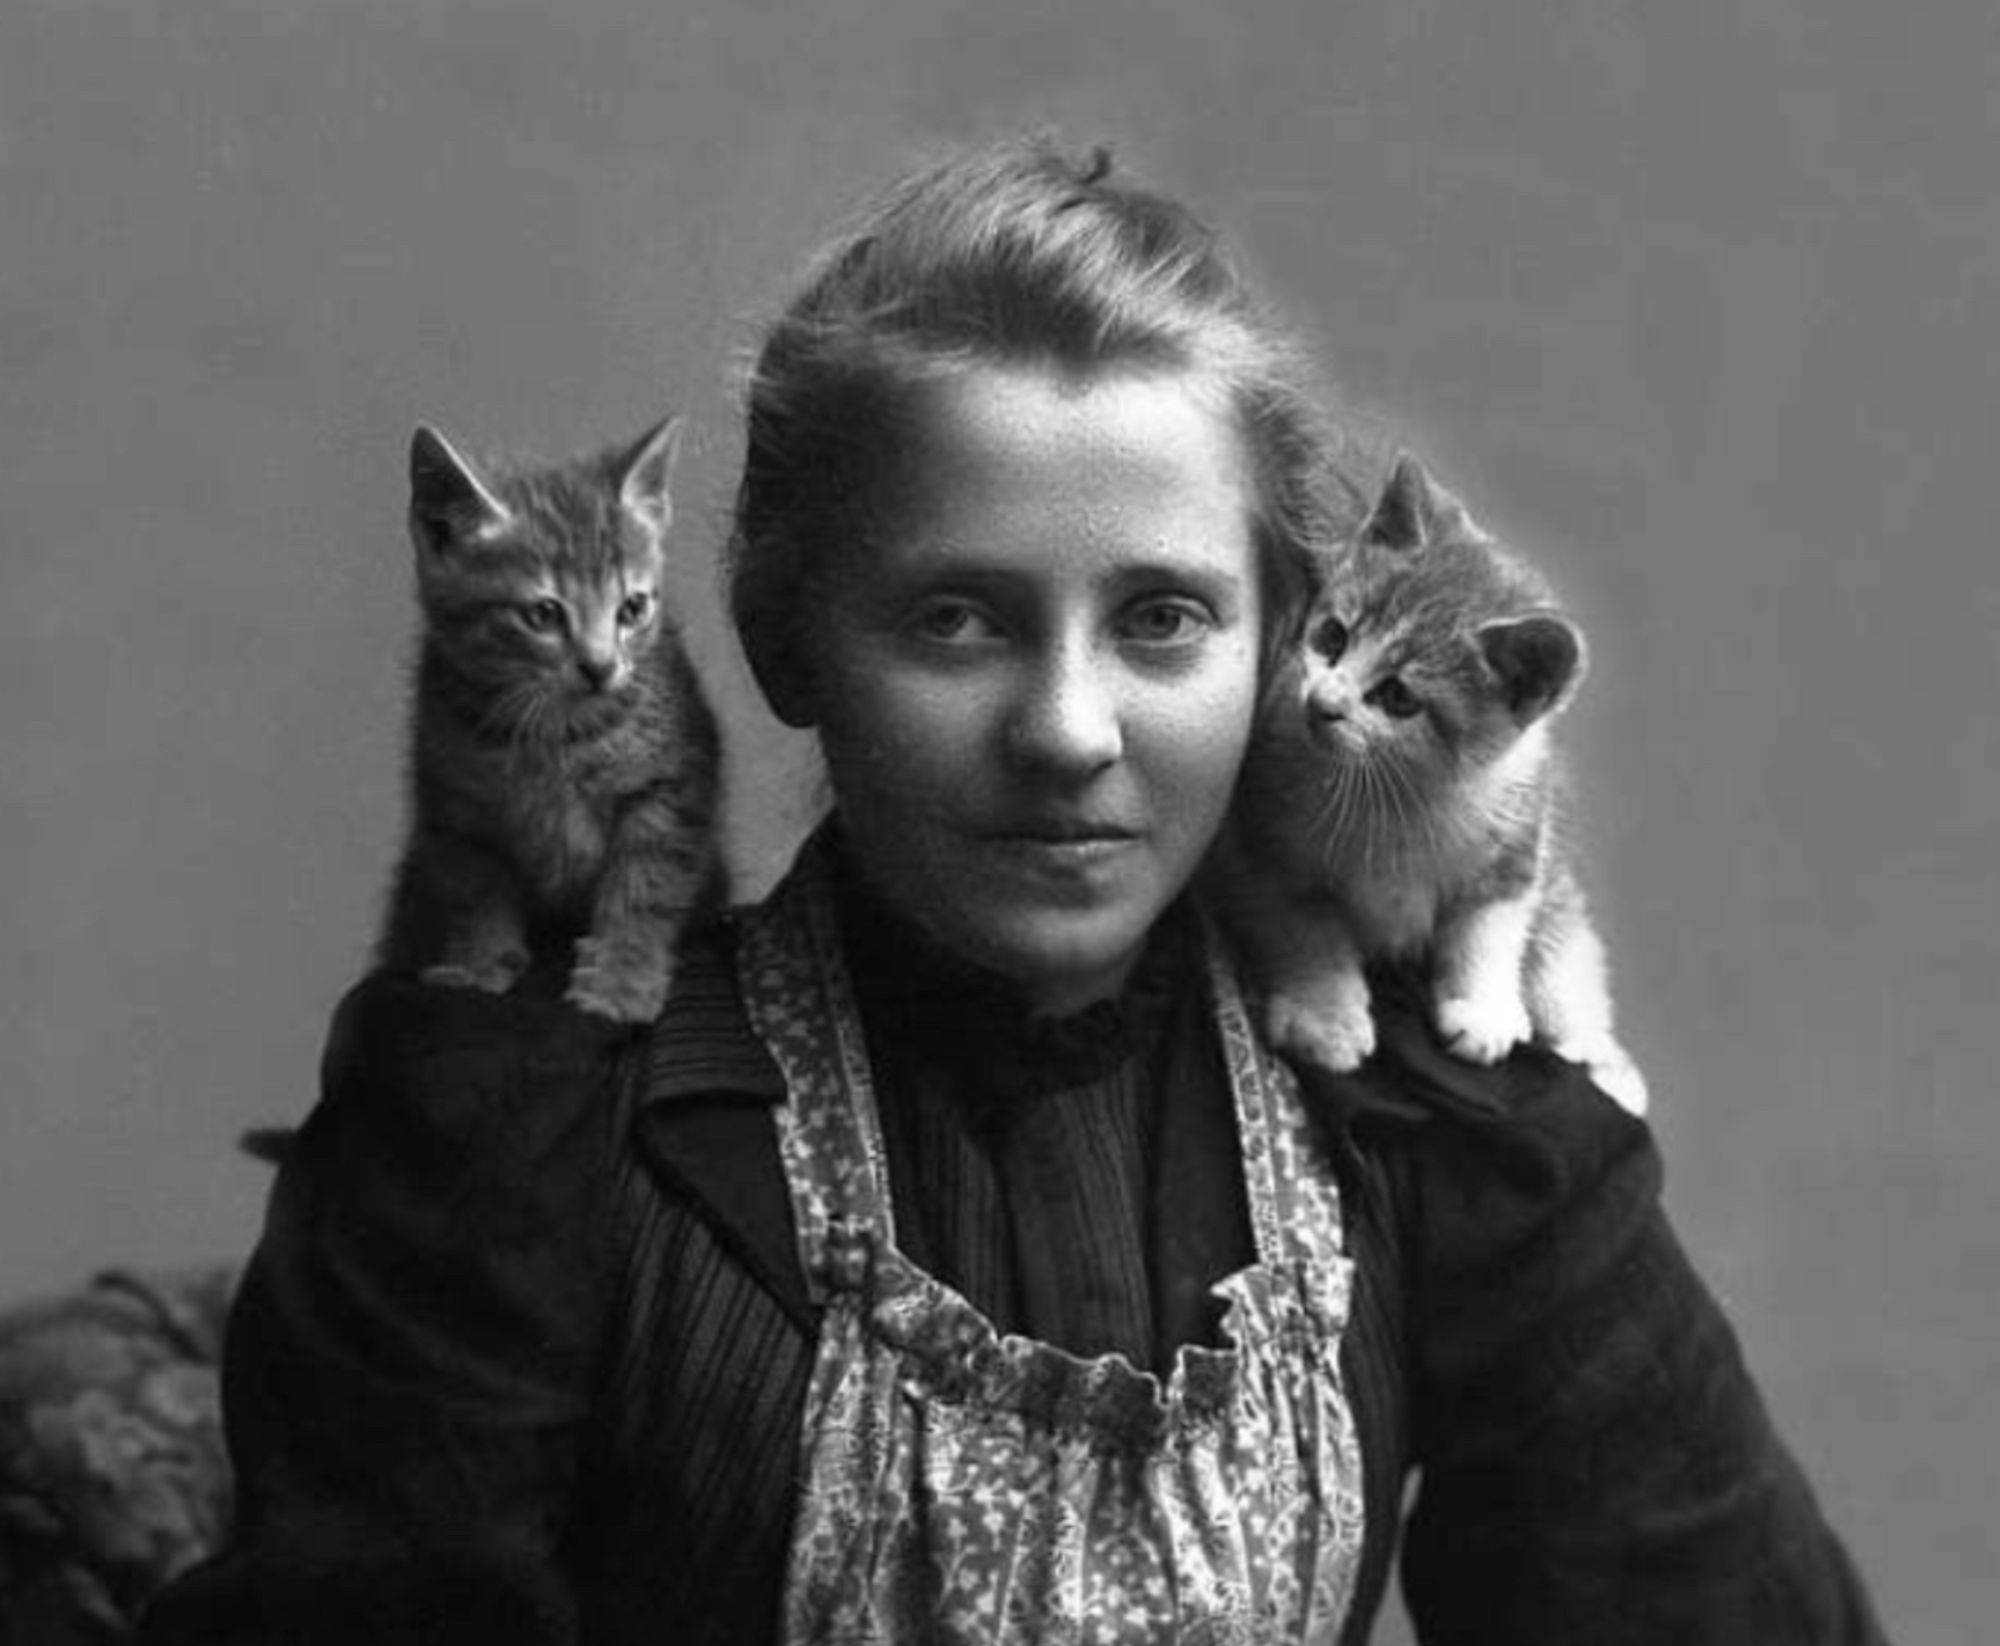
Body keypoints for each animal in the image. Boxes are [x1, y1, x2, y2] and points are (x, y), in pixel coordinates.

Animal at [372, 412, 724, 1024]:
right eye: (542, 614)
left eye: (632, 608)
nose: (600, 667)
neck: (560, 735)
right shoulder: (453, 806)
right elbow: (474, 890)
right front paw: (479, 964)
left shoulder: (672, 784)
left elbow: (646, 885)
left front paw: (622, 978)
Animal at [1208, 458, 1648, 1112]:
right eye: (1332, 637)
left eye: (1398, 696)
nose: (1322, 703)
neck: (1396, 797)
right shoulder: (1261, 842)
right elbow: (1304, 929)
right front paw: (1325, 1016)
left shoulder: (1517, 840)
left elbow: (1488, 929)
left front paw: (1482, 1009)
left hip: (1561, 905)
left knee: (1567, 968)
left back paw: (1604, 1062)